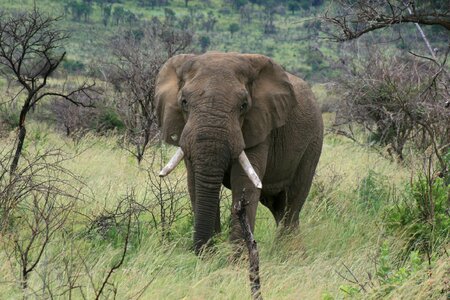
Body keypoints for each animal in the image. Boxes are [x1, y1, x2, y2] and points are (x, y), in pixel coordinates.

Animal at [155, 51, 324, 253]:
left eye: (243, 105)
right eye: (184, 102)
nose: (200, 250)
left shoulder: (261, 126)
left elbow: (244, 182)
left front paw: (235, 258)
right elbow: (195, 182)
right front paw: (210, 256)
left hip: (313, 142)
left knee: (292, 204)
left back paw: (290, 253)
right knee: (277, 205)